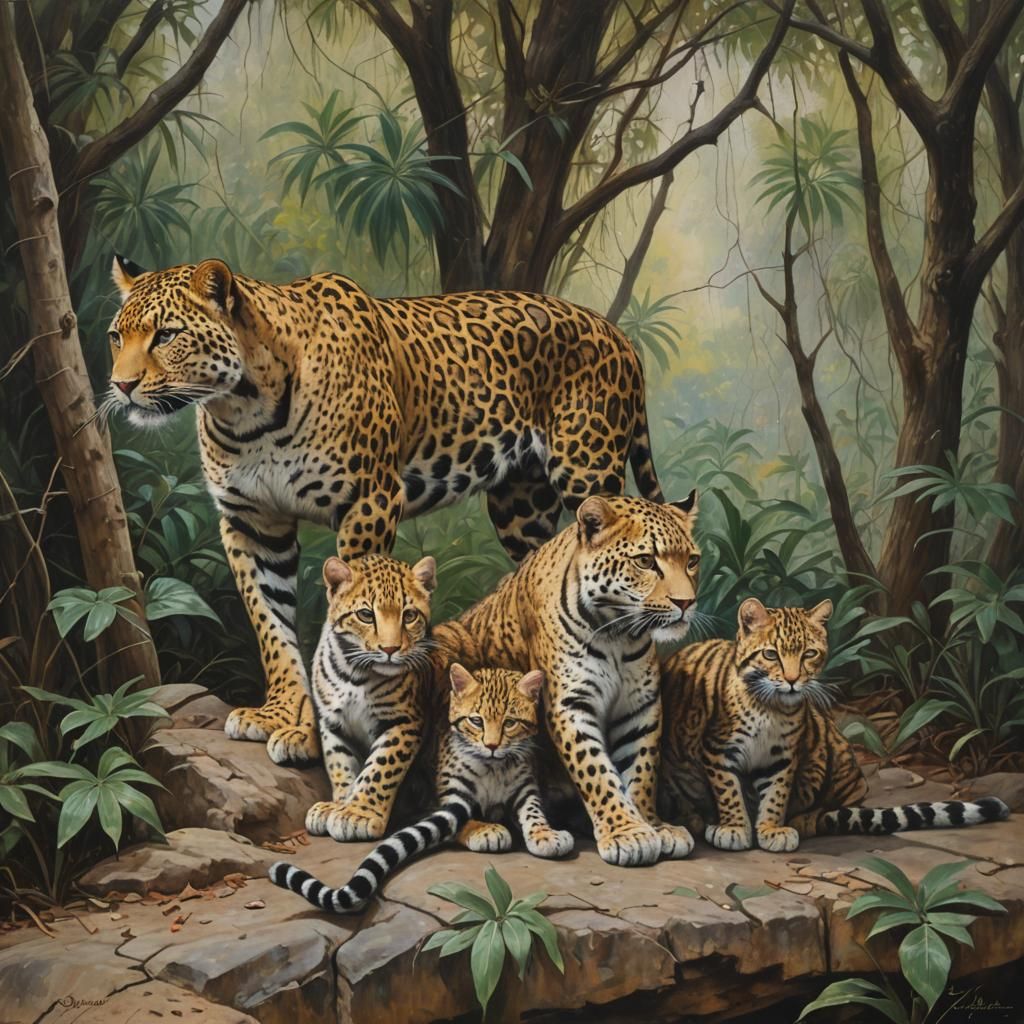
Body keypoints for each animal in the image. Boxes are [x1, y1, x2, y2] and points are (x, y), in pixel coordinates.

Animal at [105, 255, 666, 765]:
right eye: (116, 337)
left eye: (166, 335)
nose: (121, 386)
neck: (244, 409)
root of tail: (618, 334)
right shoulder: (252, 522)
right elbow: (271, 624)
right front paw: (279, 714)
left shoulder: (369, 501)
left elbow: (351, 612)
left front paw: (319, 728)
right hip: (521, 506)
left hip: (588, 473)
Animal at [659, 598, 1009, 851]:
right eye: (771, 655)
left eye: (809, 654)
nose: (791, 681)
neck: (770, 708)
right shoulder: (718, 750)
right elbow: (728, 791)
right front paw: (734, 827)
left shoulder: (783, 756)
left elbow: (776, 794)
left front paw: (771, 828)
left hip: (832, 751)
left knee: (835, 805)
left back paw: (803, 821)